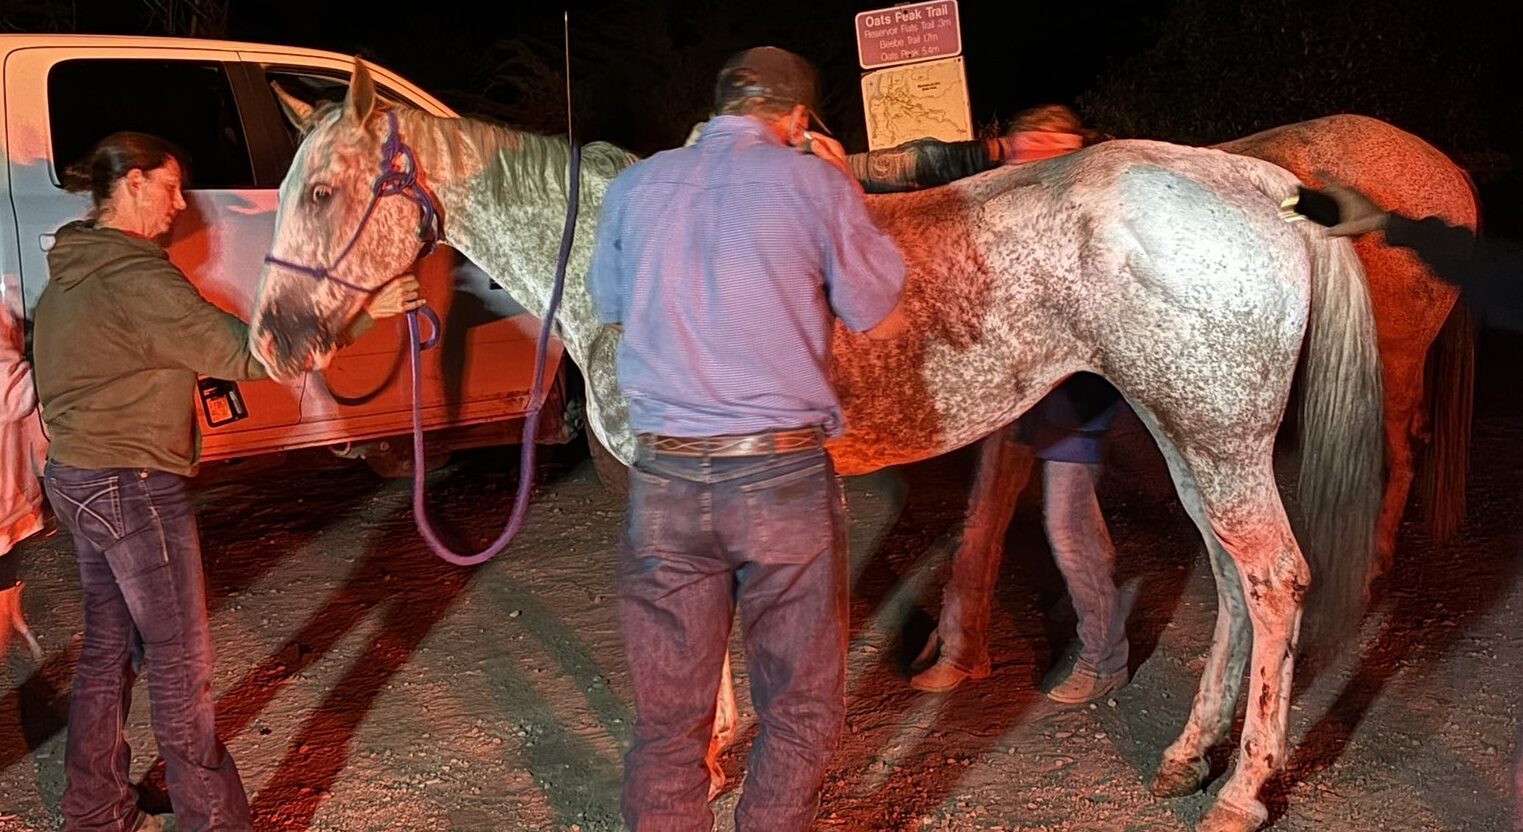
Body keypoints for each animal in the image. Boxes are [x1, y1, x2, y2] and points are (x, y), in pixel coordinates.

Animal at [248, 59, 1384, 831]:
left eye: (322, 192)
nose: (271, 341)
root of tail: (1251, 184)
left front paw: (710, 762)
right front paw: (725, 747)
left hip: (1215, 439)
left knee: (1273, 580)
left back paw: (1240, 789)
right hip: (1190, 435)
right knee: (1231, 582)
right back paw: (1190, 755)